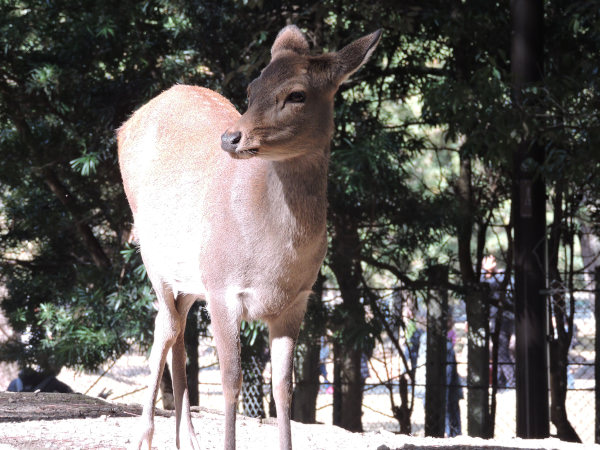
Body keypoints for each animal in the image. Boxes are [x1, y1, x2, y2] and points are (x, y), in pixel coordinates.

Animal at [116, 25, 380, 450]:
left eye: (297, 94)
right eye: (252, 87)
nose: (230, 138)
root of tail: (126, 123)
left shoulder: (297, 300)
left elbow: (283, 387)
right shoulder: (223, 288)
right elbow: (230, 382)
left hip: (191, 279)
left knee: (178, 332)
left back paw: (188, 438)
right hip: (153, 255)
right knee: (166, 328)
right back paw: (144, 436)